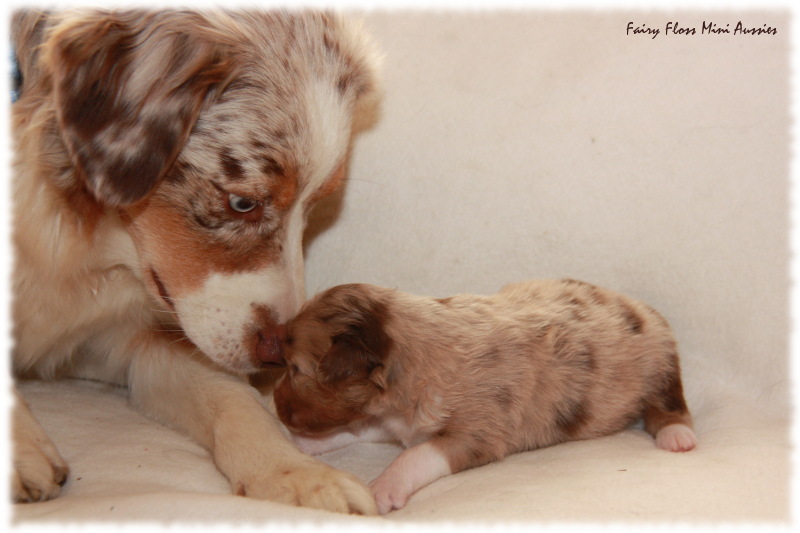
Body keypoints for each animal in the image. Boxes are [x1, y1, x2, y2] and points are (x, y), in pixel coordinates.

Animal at [272, 280, 696, 512]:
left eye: (295, 369)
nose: (274, 403)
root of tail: (639, 306)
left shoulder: (478, 432)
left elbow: (415, 455)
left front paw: (380, 489)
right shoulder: (394, 419)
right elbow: (360, 429)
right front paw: (306, 444)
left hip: (661, 363)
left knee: (669, 404)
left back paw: (677, 436)